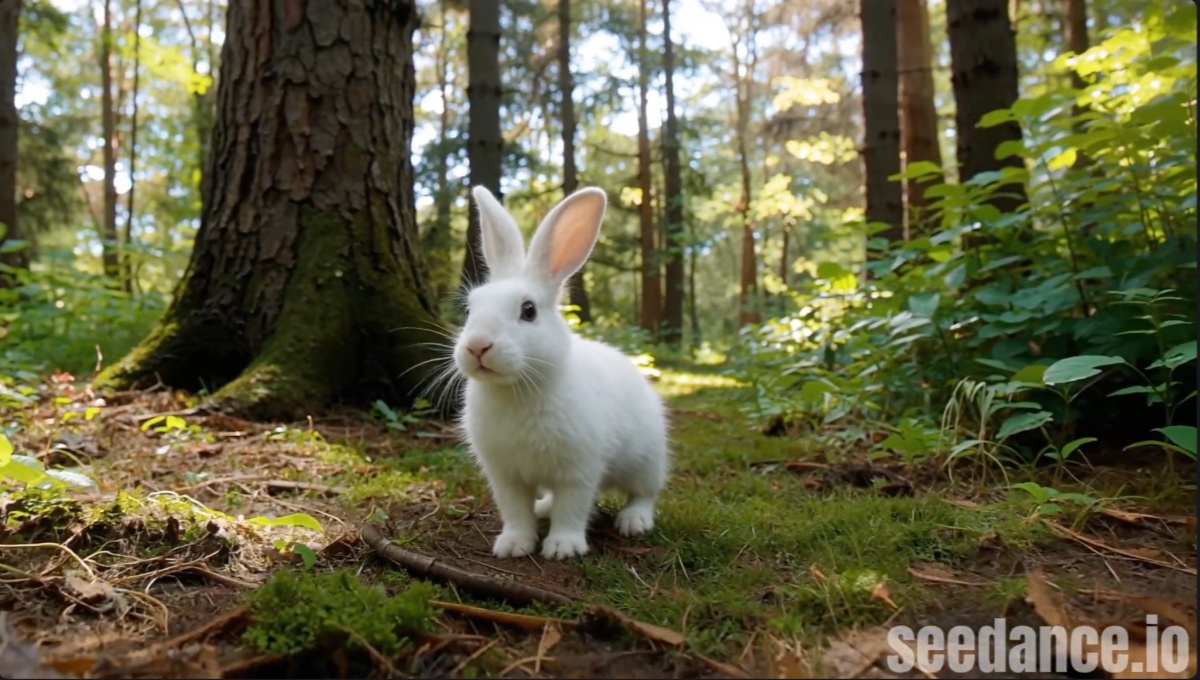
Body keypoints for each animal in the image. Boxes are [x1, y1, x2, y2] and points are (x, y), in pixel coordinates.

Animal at [452, 185, 670, 561]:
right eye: (470, 309)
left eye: (528, 311)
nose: (478, 346)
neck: (516, 389)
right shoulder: (505, 475)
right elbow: (515, 511)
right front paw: (513, 545)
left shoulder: (578, 469)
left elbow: (573, 508)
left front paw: (562, 548)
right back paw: (544, 508)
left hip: (645, 459)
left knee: (644, 493)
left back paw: (634, 521)